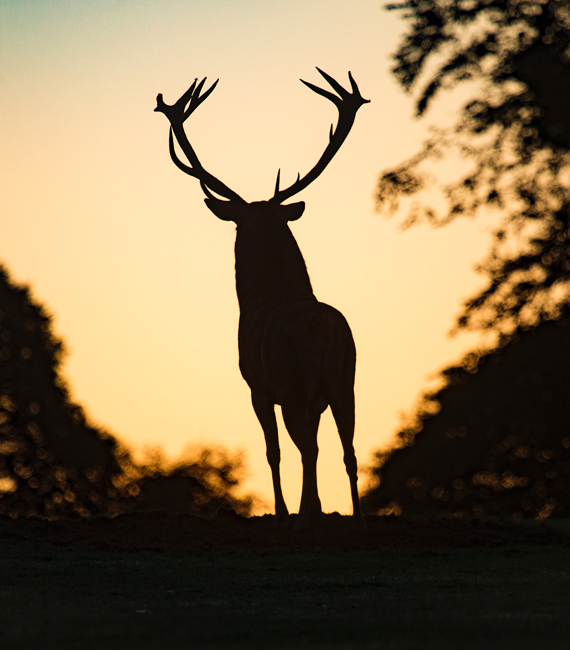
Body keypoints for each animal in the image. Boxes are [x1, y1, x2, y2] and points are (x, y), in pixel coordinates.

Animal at [155, 69, 369, 529]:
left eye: (239, 224)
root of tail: (321, 331)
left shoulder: (256, 385)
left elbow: (272, 452)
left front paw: (283, 510)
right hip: (346, 380)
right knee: (348, 450)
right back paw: (356, 516)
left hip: (293, 383)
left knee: (306, 448)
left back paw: (308, 512)